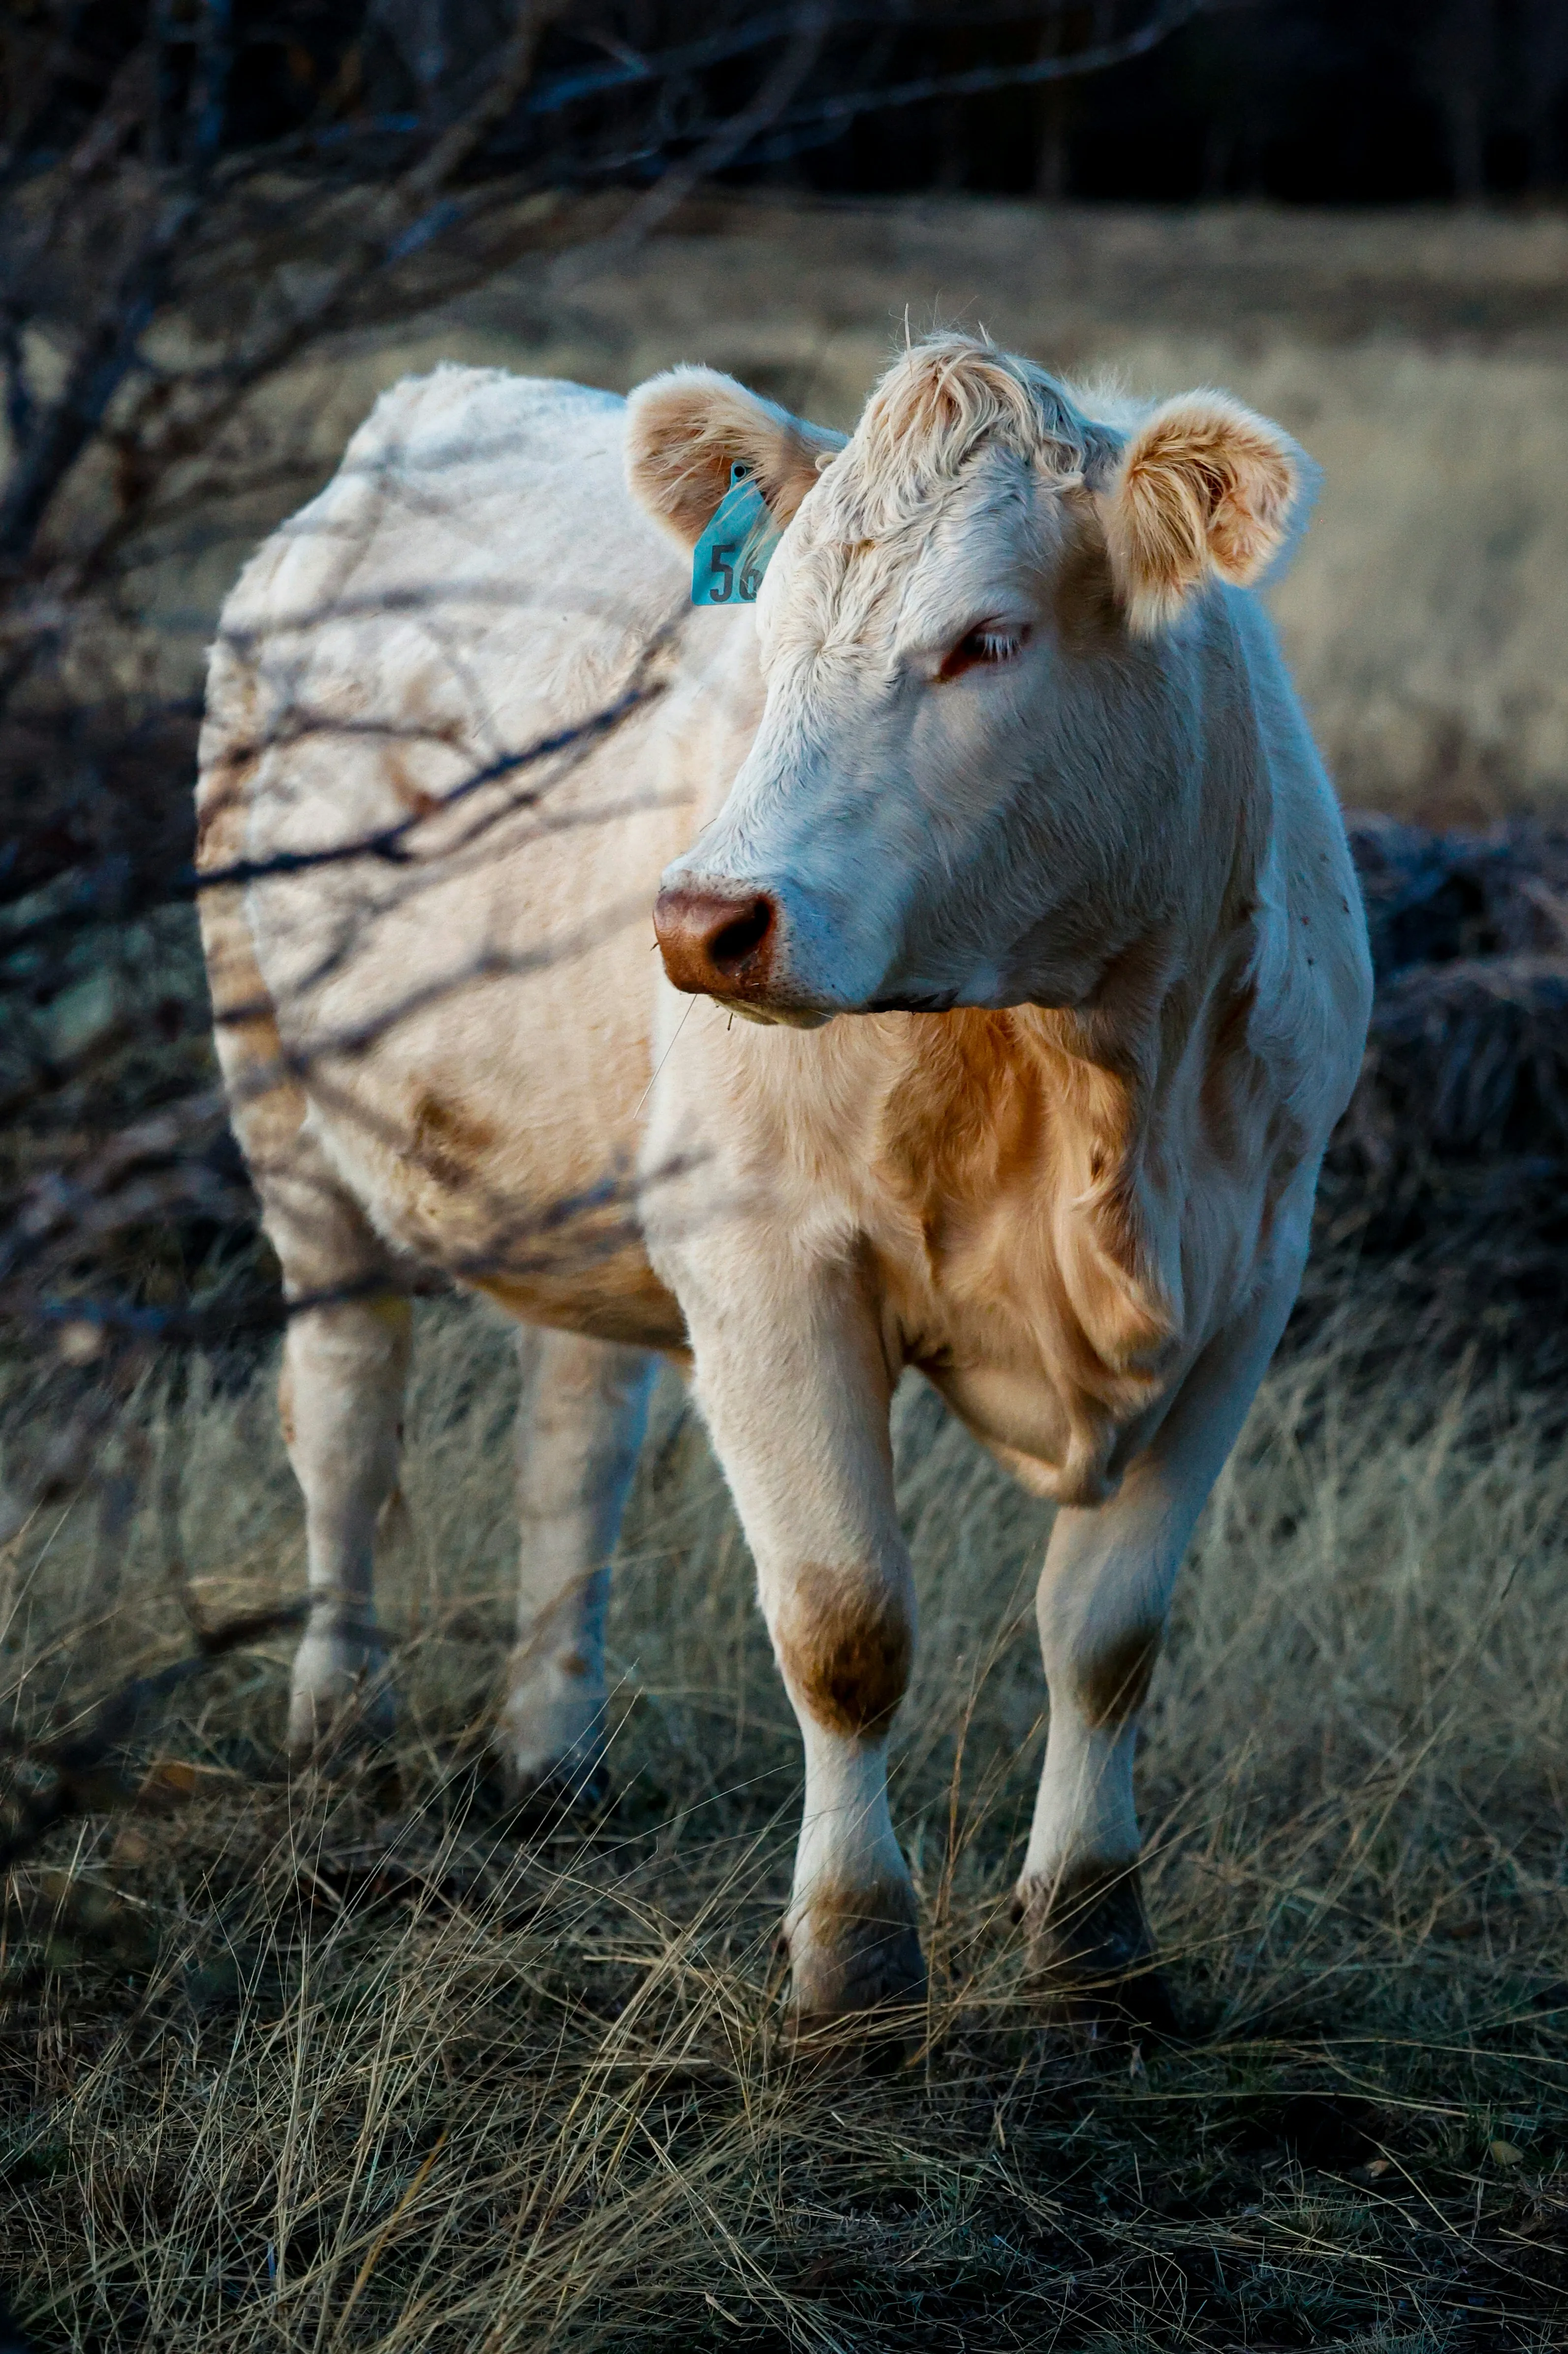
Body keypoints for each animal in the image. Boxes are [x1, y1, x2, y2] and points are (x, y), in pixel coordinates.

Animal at [196, 333, 1372, 2031]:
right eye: (772, 632)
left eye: (987, 639)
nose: (704, 919)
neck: (1080, 1071)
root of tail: (423, 405)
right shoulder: (766, 1261)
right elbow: (843, 1626)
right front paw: (855, 1959)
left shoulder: (1248, 1278)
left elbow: (1108, 1633)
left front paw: (1094, 1940)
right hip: (288, 1115)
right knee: (347, 1418)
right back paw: (342, 1721)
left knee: (575, 1443)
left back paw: (552, 1755)